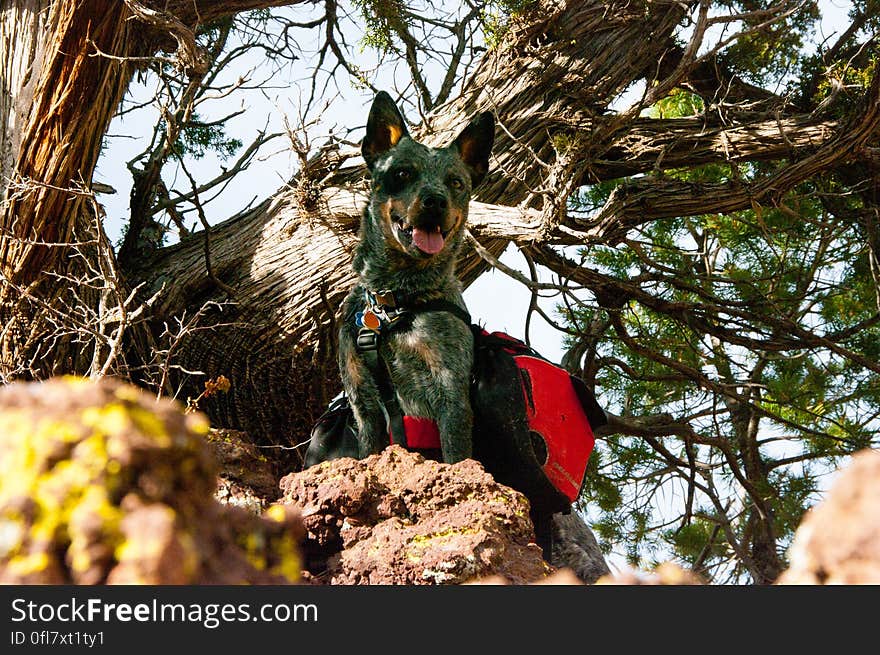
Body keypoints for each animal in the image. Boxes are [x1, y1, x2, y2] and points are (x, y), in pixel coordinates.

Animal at [340, 92, 496, 464]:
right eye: (402, 173)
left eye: (456, 182)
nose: (435, 201)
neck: (392, 299)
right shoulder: (363, 401)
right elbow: (367, 452)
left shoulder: (450, 391)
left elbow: (456, 456)